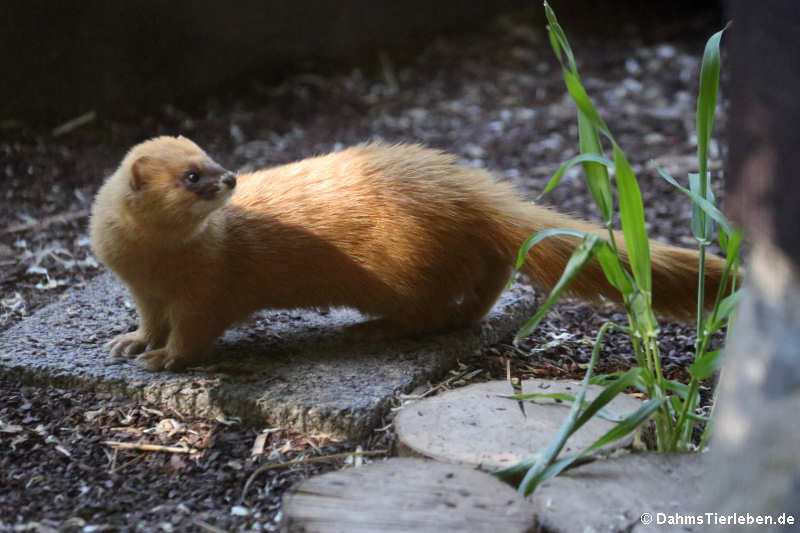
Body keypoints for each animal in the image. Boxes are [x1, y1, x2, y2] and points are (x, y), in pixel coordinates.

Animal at [89, 136, 724, 370]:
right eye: (193, 174)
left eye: (210, 158)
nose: (231, 177)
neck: (155, 266)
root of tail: (466, 186)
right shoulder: (143, 290)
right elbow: (150, 319)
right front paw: (130, 341)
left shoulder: (208, 291)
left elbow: (196, 333)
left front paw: (162, 358)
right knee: (488, 278)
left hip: (404, 269)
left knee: (431, 309)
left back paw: (370, 328)